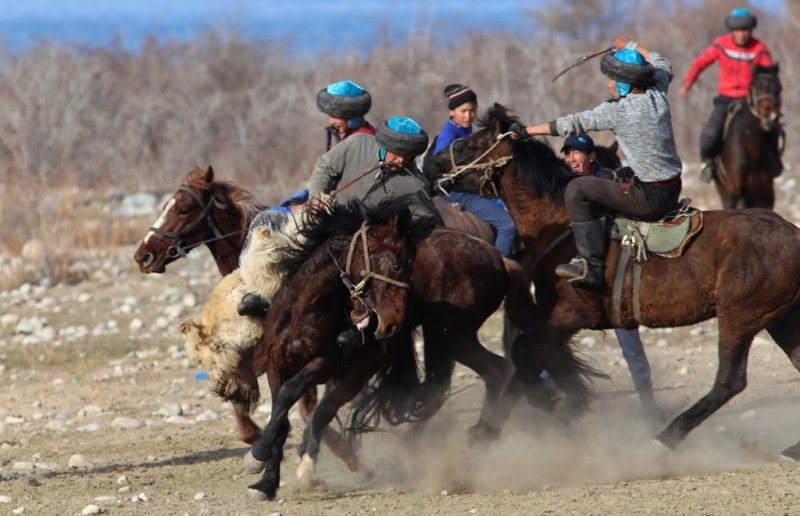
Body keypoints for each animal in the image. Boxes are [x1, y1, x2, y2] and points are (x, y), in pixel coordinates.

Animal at [424, 104, 800, 456]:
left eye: (471, 144)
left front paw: (534, 410)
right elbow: (535, 357)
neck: (560, 226)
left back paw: (664, 438)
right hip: (779, 319)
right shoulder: (553, 318)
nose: (429, 164)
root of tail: (793, 234)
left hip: (740, 317)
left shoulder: (573, 314)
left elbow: (525, 352)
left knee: (729, 382)